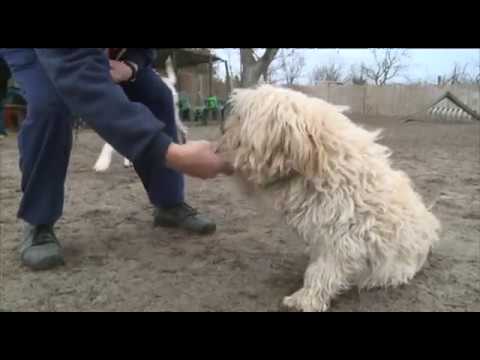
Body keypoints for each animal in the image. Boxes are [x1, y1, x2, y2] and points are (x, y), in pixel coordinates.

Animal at [219, 84, 440, 312]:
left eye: (240, 118)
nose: (223, 130)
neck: (321, 163)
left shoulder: (344, 239)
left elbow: (323, 271)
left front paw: (305, 300)